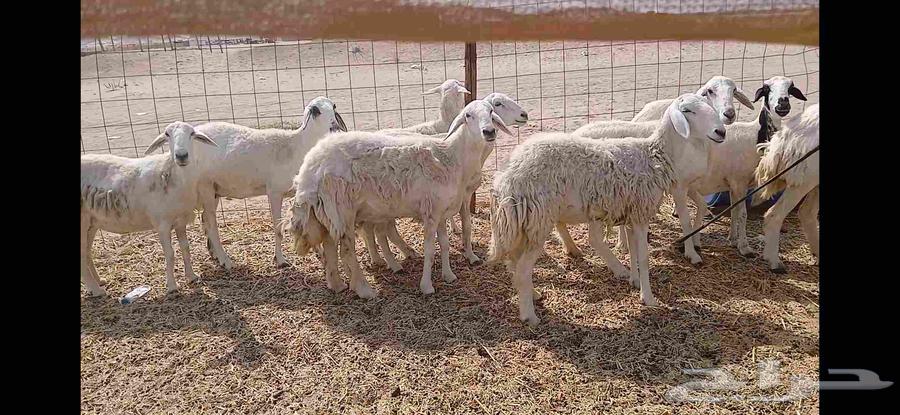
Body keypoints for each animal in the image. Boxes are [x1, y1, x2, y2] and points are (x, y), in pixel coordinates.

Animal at [81, 121, 219, 296]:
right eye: (167, 134)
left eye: (192, 133)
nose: (181, 156)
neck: (169, 174)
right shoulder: (162, 223)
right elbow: (170, 254)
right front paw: (172, 286)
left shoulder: (180, 221)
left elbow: (185, 248)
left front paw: (192, 276)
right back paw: (96, 289)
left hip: (91, 222)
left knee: (86, 251)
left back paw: (98, 281)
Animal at [193, 97, 347, 269]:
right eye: (315, 110)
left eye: (334, 106)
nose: (335, 128)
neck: (297, 146)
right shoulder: (274, 192)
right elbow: (278, 229)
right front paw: (280, 260)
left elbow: (306, 224)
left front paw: (320, 254)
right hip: (204, 187)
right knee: (211, 224)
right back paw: (225, 260)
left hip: (215, 190)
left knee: (205, 219)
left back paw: (214, 254)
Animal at [286, 100, 511, 298]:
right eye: (468, 115)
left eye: (491, 111)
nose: (489, 132)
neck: (454, 158)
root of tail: (309, 166)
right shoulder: (431, 212)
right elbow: (430, 249)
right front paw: (426, 286)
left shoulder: (440, 210)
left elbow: (445, 244)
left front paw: (448, 275)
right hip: (342, 208)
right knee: (347, 250)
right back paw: (364, 290)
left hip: (328, 211)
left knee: (330, 245)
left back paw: (337, 284)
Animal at [360, 93, 529, 270]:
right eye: (498, 104)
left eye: (491, 111)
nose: (524, 114)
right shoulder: (462, 194)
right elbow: (466, 225)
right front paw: (469, 253)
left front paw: (458, 237)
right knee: (380, 230)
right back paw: (393, 259)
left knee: (371, 228)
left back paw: (383, 256)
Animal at [487, 94, 726, 325]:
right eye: (687, 110)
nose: (721, 131)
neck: (656, 155)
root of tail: (507, 177)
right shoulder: (641, 212)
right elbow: (644, 257)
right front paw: (648, 298)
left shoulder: (630, 213)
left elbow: (633, 251)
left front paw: (634, 281)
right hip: (538, 219)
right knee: (523, 270)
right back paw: (529, 315)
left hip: (522, 224)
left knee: (515, 262)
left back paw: (533, 293)